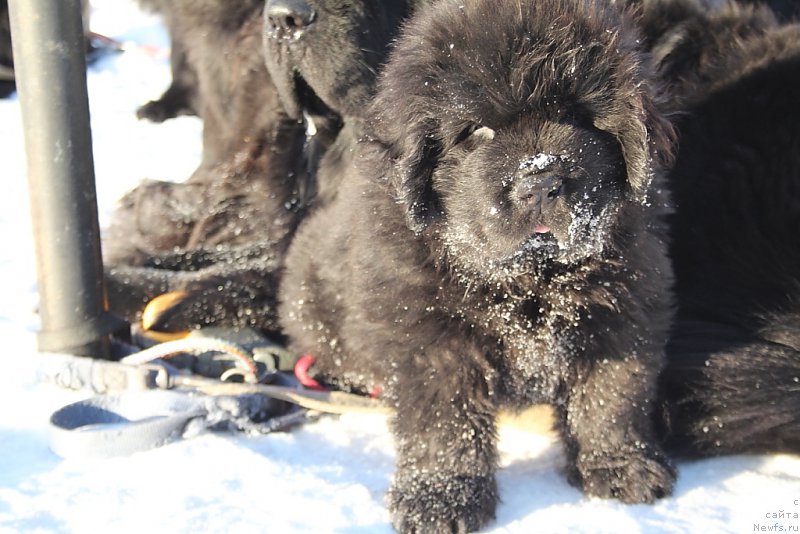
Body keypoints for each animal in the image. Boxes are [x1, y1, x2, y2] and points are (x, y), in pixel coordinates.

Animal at [278, 0, 680, 532]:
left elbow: (610, 399)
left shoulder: (623, 309)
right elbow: (446, 425)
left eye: (576, 117)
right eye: (477, 132)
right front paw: (440, 500)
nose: (541, 181)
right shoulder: (431, 339)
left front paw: (621, 467)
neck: (530, 280)